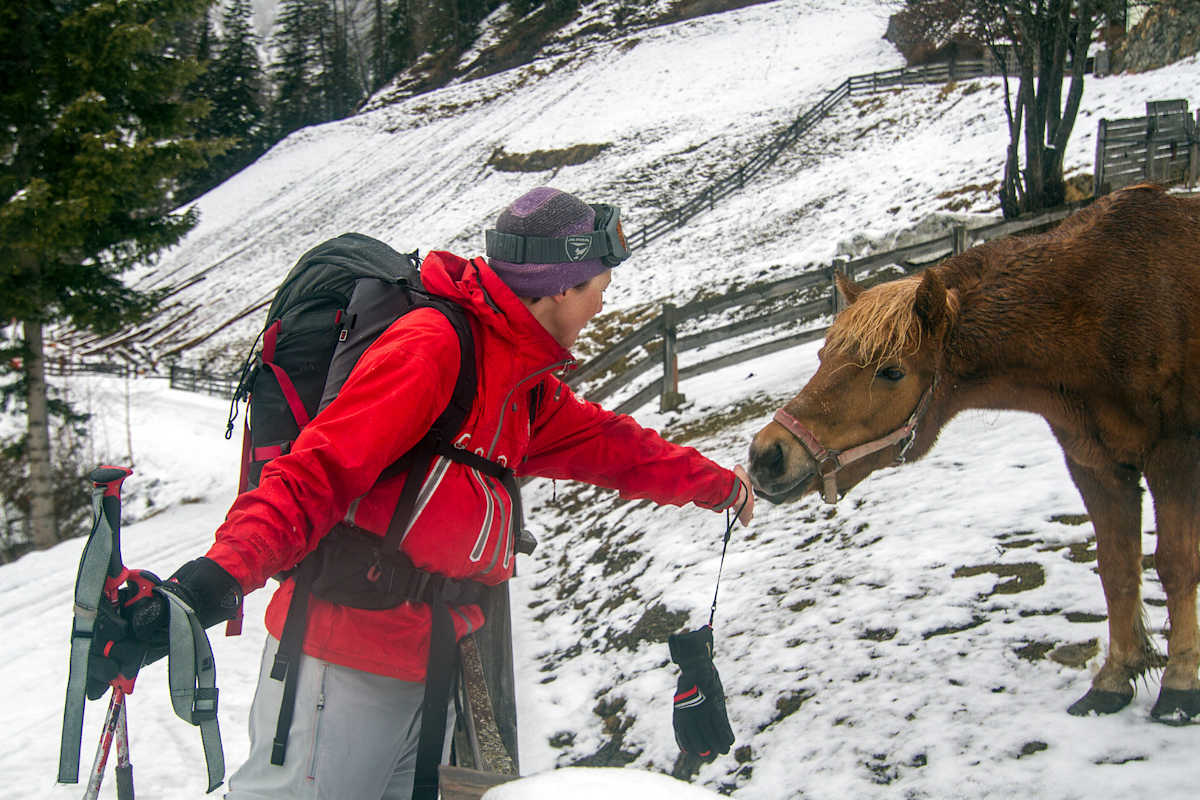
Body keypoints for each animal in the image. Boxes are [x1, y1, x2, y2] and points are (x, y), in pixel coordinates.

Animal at [747, 183, 1200, 723]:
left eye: (892, 371)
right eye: (822, 356)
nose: (767, 455)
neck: (1104, 315)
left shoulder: (1175, 456)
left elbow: (1176, 565)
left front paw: (1180, 684)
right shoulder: (1096, 466)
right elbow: (1118, 571)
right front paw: (1113, 679)